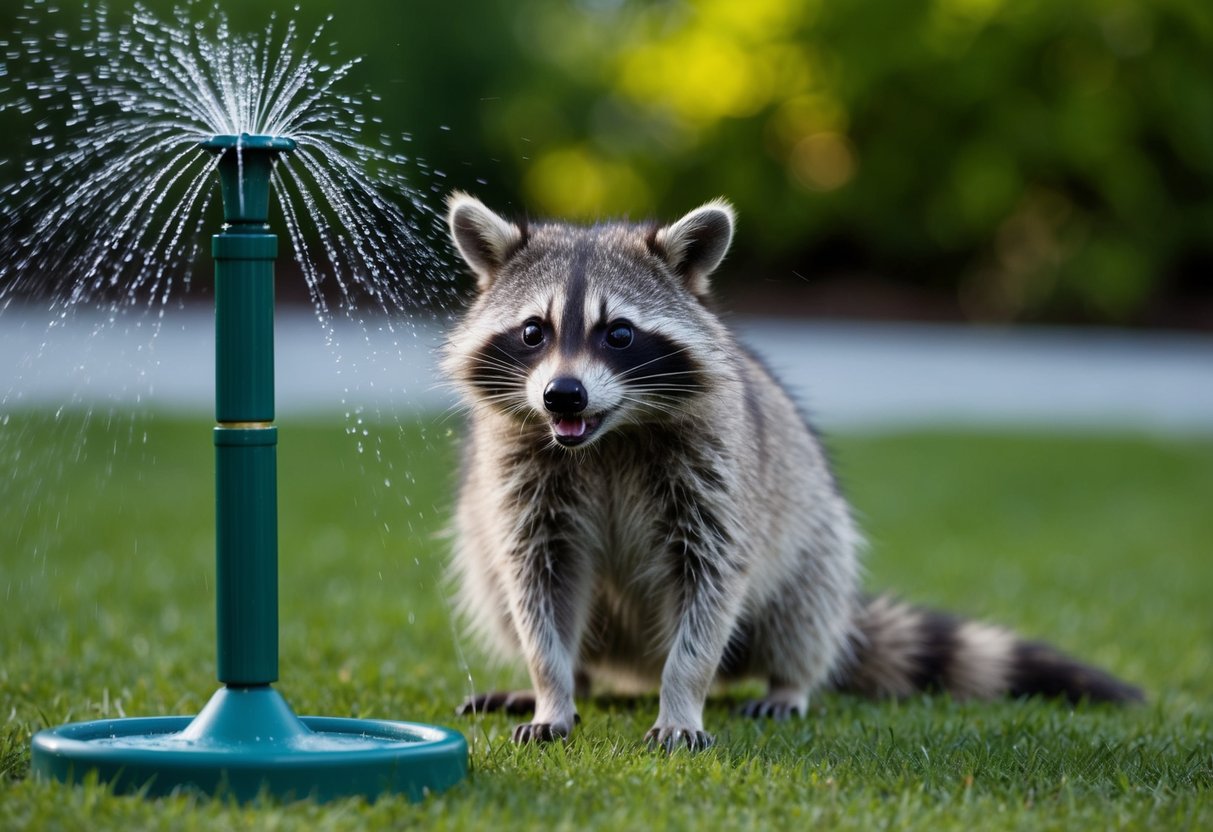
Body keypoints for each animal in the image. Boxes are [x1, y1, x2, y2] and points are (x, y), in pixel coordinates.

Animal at [441, 193, 1141, 751]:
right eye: (534, 331)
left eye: (619, 334)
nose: (563, 396)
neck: (606, 434)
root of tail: (632, 664)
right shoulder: (523, 475)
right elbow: (537, 583)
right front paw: (551, 687)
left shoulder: (716, 472)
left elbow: (711, 584)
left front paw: (682, 696)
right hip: (489, 543)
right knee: (498, 588)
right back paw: (578, 677)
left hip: (814, 537)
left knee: (801, 605)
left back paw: (788, 681)